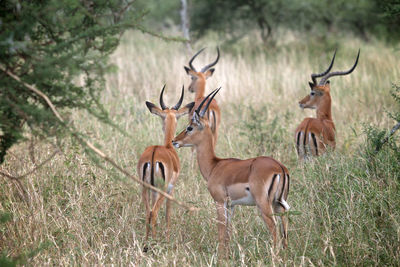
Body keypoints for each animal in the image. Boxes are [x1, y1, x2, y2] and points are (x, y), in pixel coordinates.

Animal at [137, 86, 195, 243]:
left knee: (148, 212)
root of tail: (153, 156)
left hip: (145, 187)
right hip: (161, 189)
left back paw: (146, 242)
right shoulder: (171, 188)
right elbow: (168, 213)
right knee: (154, 213)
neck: (168, 148)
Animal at [172, 89, 290, 256]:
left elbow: (221, 232)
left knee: (274, 228)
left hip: (263, 204)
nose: (174, 141)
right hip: (278, 204)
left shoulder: (219, 202)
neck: (214, 166)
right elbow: (228, 233)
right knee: (284, 228)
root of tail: (279, 167)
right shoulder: (231, 205)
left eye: (190, 127)